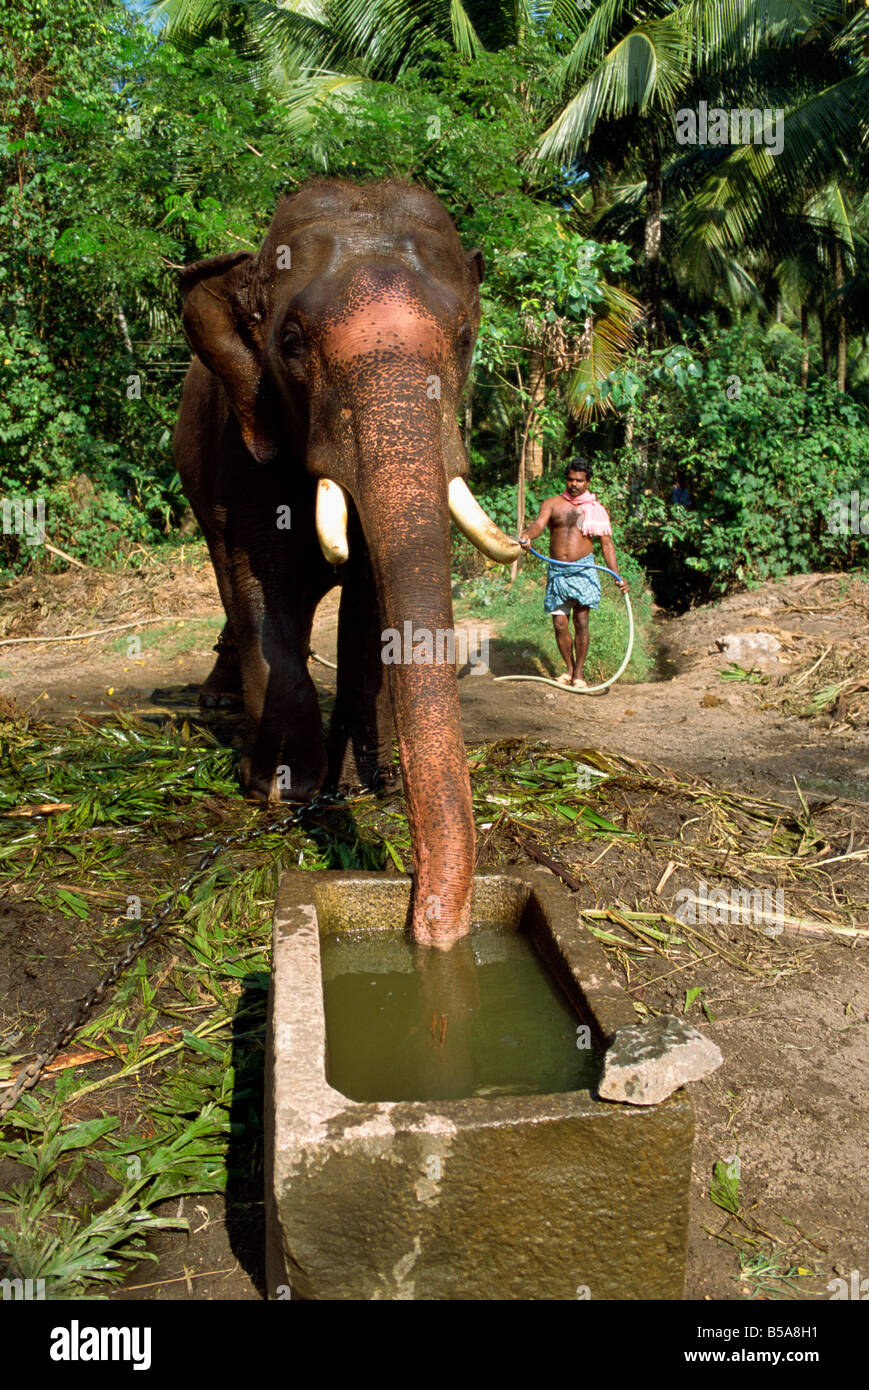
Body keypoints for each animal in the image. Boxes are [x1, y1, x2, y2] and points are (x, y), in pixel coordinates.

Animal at [173, 179, 517, 950]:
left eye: (465, 338)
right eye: (291, 344)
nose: (432, 927)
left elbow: (369, 607)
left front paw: (362, 785)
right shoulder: (247, 445)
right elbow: (263, 591)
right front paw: (283, 791)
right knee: (229, 582)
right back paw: (221, 704)